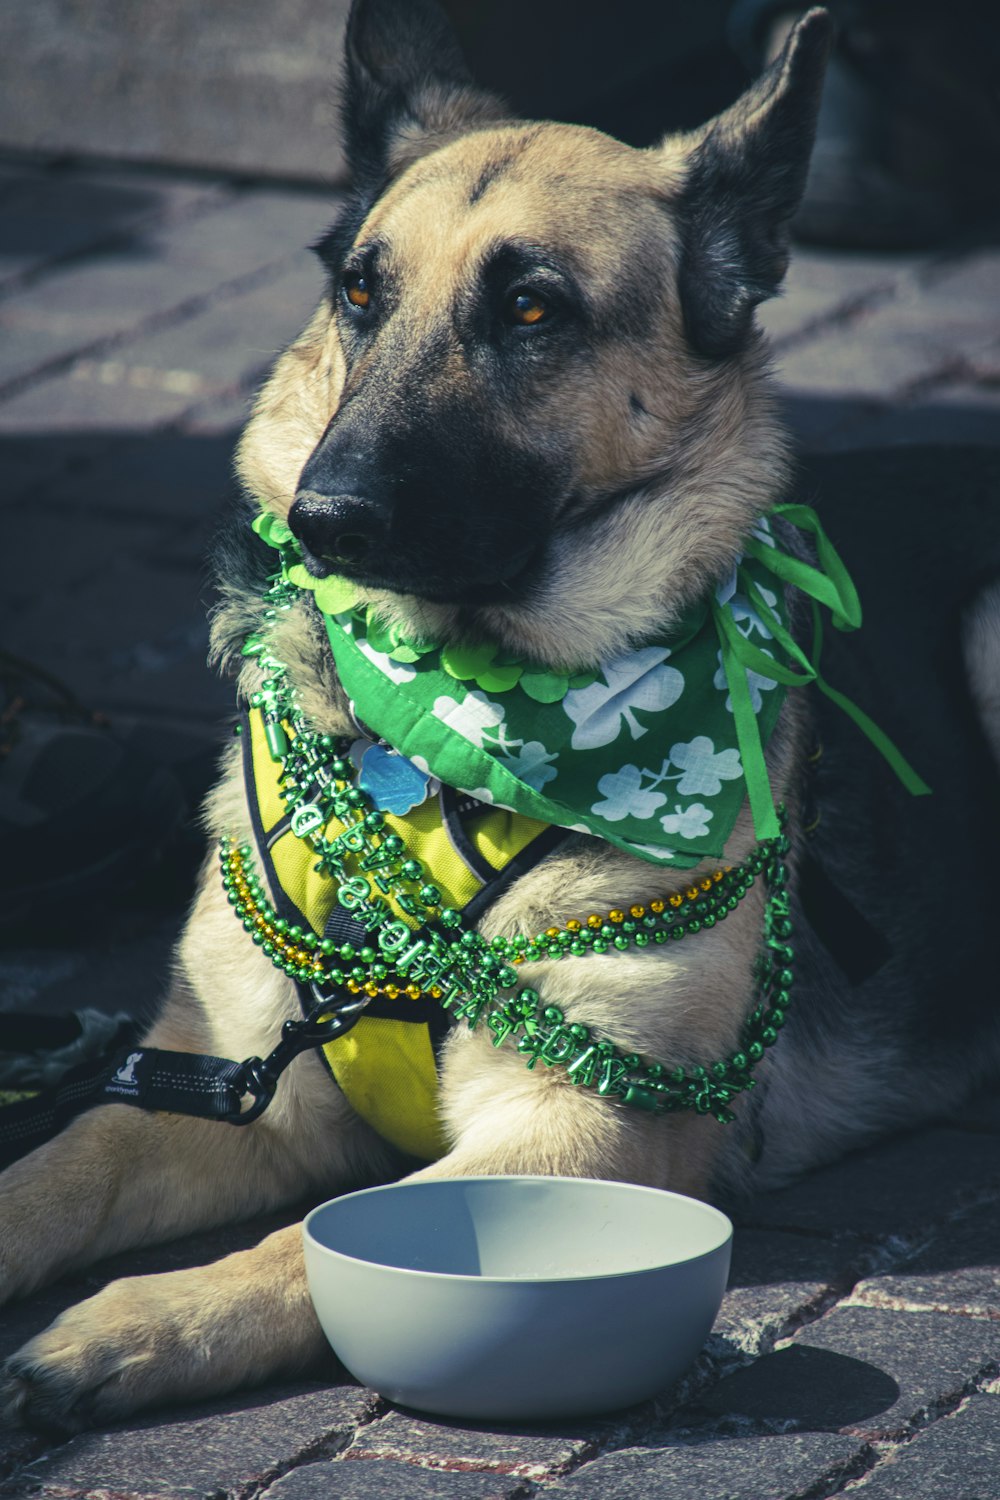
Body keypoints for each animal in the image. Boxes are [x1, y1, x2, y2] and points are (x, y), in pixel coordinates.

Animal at [1, 0, 1000, 1434]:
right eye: (361, 295)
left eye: (532, 309)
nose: (323, 518)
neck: (432, 741)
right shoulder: (229, 1084)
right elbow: (53, 1168)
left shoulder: (582, 1123)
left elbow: (296, 1253)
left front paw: (132, 1324)